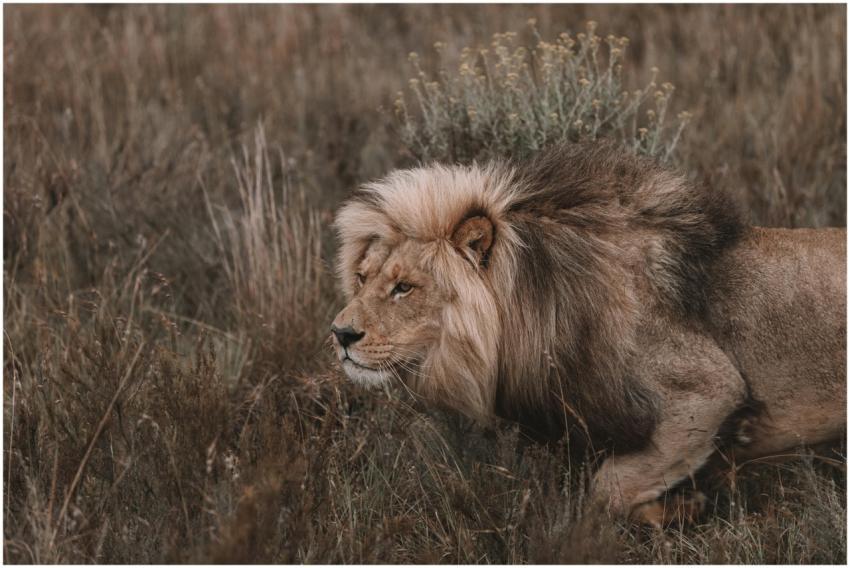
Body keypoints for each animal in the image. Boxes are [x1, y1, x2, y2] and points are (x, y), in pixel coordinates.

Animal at [330, 142, 846, 525]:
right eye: (362, 277)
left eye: (404, 287)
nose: (340, 334)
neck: (536, 303)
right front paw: (680, 508)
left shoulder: (708, 392)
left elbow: (607, 489)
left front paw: (683, 509)